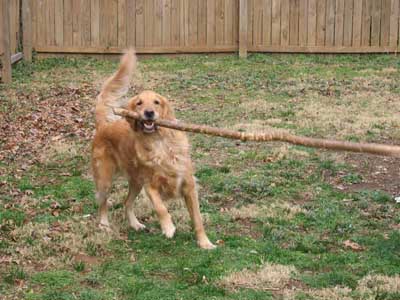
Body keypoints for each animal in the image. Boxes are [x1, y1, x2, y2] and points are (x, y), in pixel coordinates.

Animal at [92, 50, 216, 250]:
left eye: (156, 102)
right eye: (139, 103)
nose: (149, 112)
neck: (160, 143)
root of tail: (104, 125)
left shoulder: (189, 186)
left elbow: (197, 219)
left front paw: (205, 242)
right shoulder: (150, 185)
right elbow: (161, 208)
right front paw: (168, 227)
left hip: (136, 181)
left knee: (126, 202)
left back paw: (135, 224)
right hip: (106, 178)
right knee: (103, 202)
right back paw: (104, 225)